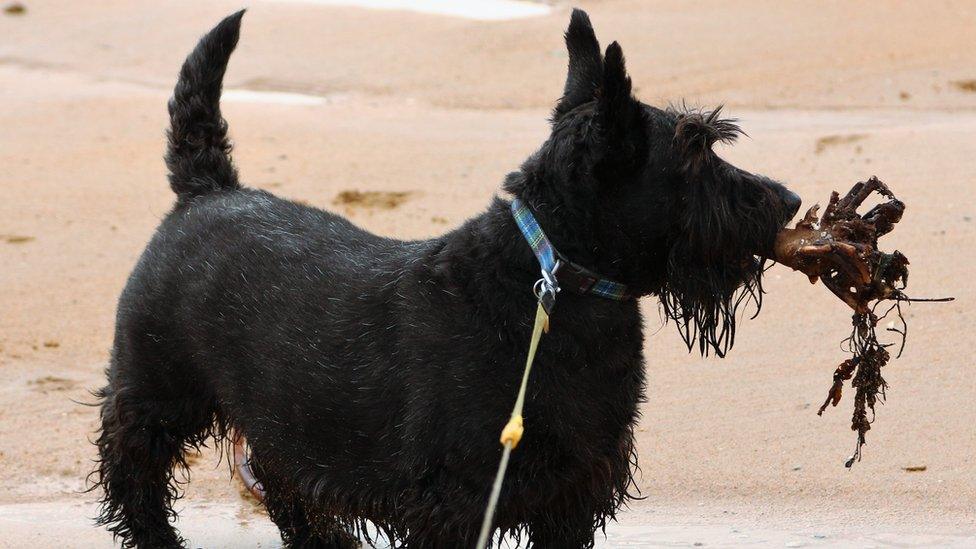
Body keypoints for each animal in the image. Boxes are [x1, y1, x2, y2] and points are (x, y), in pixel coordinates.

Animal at [89, 8, 800, 548]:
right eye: (695, 150)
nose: (789, 200)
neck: (551, 282)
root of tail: (208, 191)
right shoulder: (454, 505)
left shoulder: (573, 493)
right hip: (155, 391)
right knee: (132, 474)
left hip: (278, 418)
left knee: (284, 486)